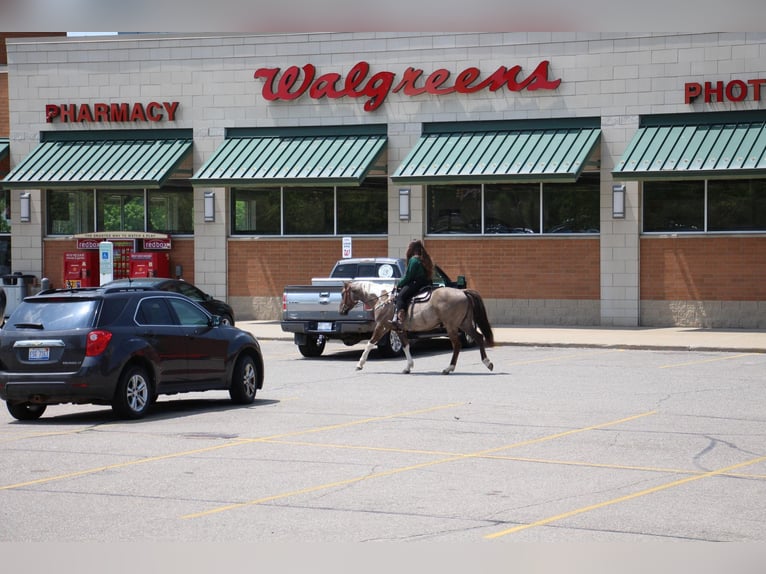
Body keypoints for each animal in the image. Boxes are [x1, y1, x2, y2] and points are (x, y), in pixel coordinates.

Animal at [338, 280, 496, 378]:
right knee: (478, 337)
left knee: (457, 345)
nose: (341, 310)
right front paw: (408, 367)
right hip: (465, 324)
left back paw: (449, 368)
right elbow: (406, 346)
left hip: (452, 326)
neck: (382, 299)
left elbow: (370, 343)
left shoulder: (382, 326)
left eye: (342, 293)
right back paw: (487, 363)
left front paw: (359, 364)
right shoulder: (399, 329)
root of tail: (463, 292)